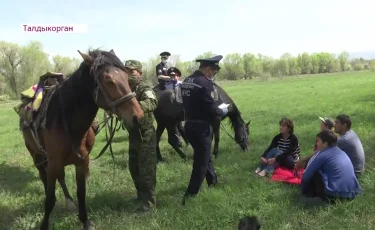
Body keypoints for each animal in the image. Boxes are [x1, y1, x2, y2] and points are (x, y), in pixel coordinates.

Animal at [20, 49, 144, 230]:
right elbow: (49, 198)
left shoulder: (81, 162)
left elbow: (81, 193)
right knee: (44, 177)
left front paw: (85, 221)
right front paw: (44, 225)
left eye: (126, 78)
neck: (67, 123)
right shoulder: (54, 162)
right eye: (108, 80)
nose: (138, 117)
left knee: (61, 177)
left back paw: (69, 202)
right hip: (36, 155)